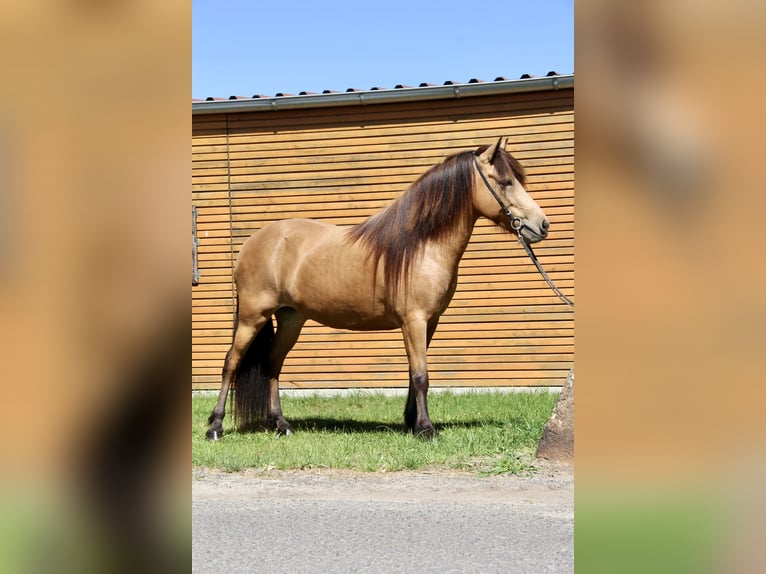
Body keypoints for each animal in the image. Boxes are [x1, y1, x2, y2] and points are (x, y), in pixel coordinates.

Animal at [207, 140, 548, 440]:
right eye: (505, 182)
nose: (542, 225)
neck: (421, 246)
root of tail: (252, 243)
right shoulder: (414, 320)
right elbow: (421, 376)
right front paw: (426, 429)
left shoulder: (429, 322)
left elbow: (414, 374)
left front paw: (412, 422)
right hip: (253, 316)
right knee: (231, 362)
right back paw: (215, 427)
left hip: (291, 318)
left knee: (273, 364)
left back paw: (281, 424)